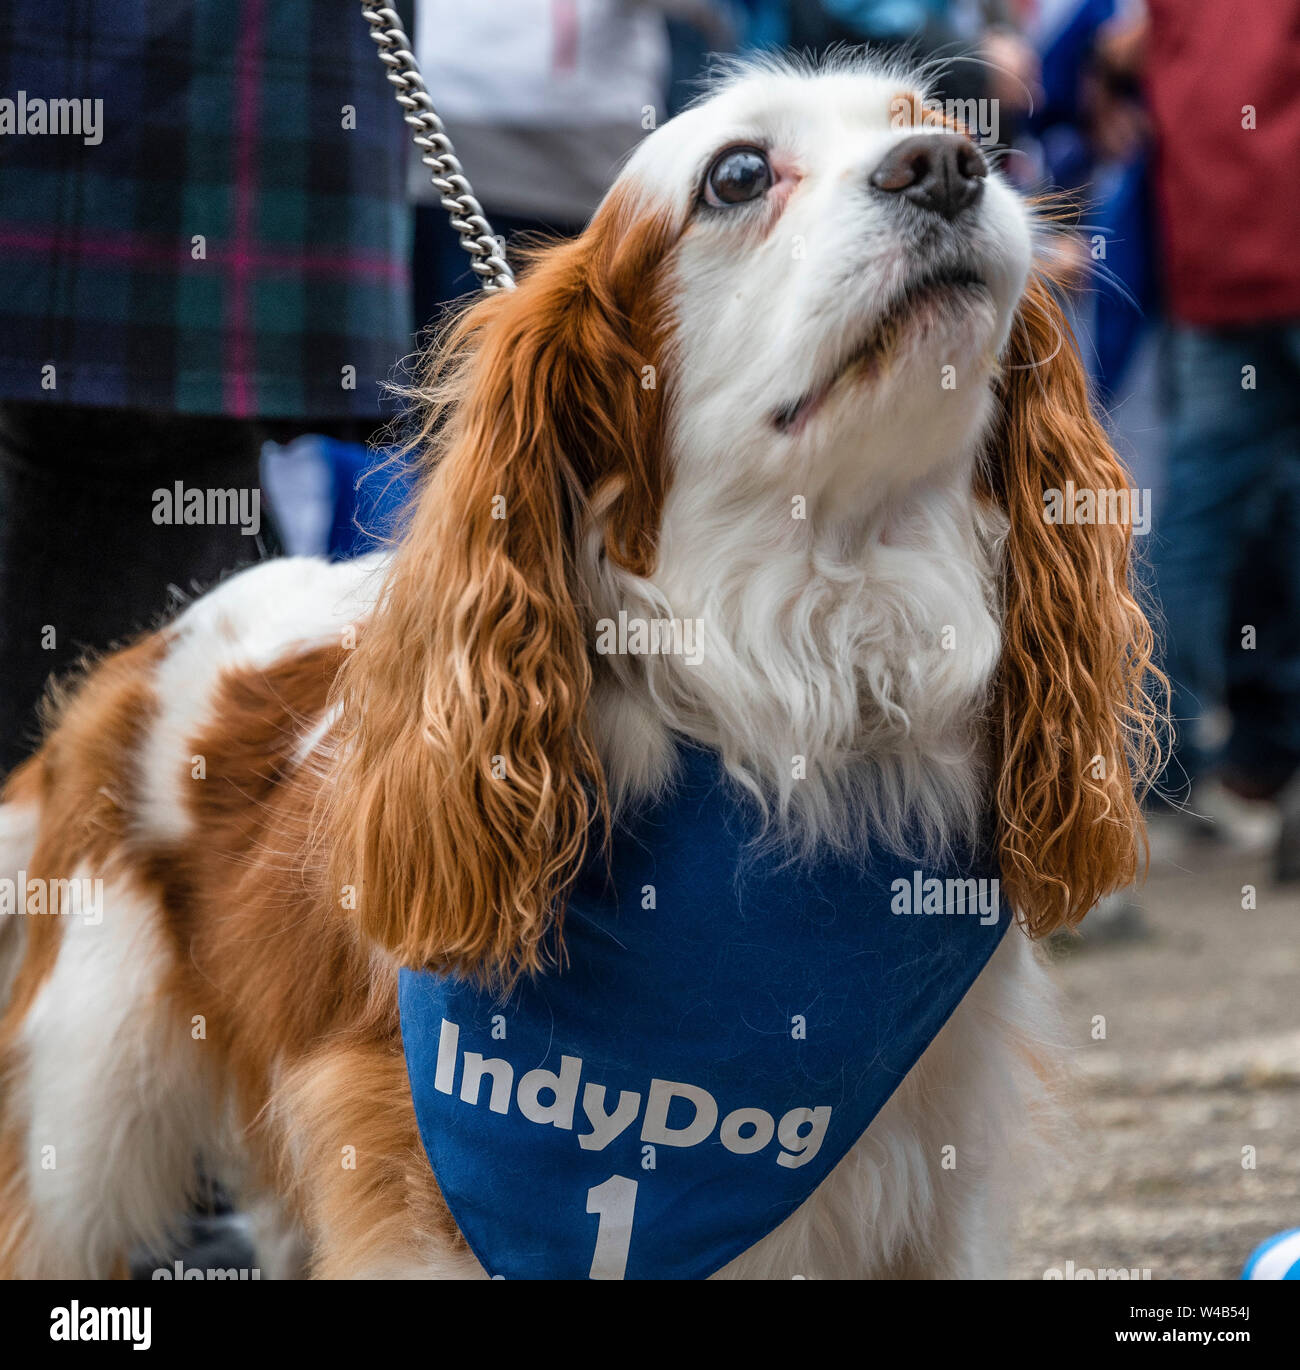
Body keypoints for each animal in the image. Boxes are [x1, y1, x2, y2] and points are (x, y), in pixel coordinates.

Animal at [0, 50, 1156, 1271]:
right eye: (738, 174)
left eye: (939, 124)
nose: (945, 165)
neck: (810, 660)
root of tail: (118, 676)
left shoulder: (936, 1193)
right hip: (88, 1124)